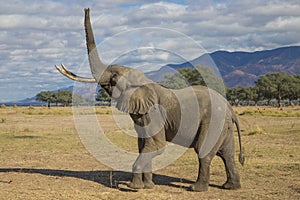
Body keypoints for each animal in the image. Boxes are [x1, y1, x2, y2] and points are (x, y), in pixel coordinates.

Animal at [56, 8, 244, 192]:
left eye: (114, 78)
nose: (87, 8)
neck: (144, 81)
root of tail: (230, 109)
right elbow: (143, 144)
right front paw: (147, 186)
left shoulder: (155, 113)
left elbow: (156, 144)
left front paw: (132, 187)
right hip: (223, 125)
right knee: (227, 154)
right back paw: (230, 187)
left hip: (213, 121)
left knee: (204, 151)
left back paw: (196, 188)